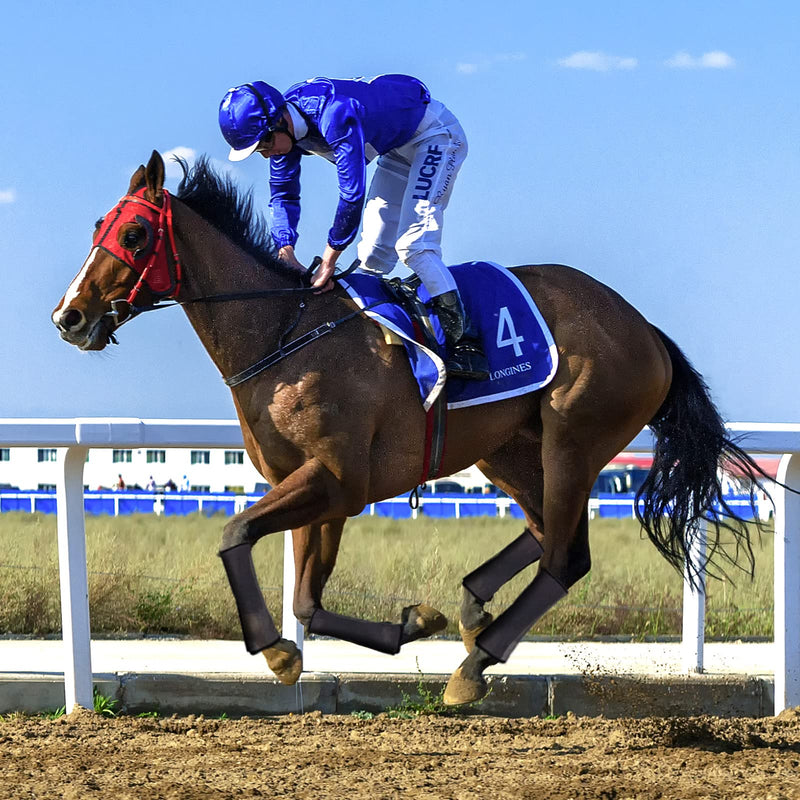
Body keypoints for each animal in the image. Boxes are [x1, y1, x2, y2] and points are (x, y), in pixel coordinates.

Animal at [52, 150, 769, 705]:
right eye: (98, 225)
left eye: (135, 234)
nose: (70, 315)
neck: (284, 334)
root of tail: (646, 330)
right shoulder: (315, 486)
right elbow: (306, 599)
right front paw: (400, 627)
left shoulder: (338, 479)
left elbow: (235, 535)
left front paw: (273, 648)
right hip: (511, 448)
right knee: (547, 532)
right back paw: (473, 607)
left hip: (574, 439)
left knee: (566, 556)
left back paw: (475, 664)